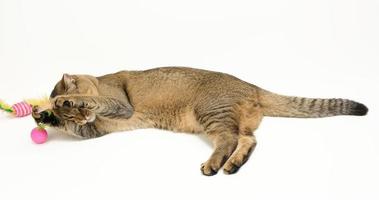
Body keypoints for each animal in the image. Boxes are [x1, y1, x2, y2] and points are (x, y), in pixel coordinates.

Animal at [31, 67, 370, 175]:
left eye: (76, 110)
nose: (81, 115)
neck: (98, 80)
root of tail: (252, 85)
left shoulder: (119, 105)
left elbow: (97, 101)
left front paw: (61, 102)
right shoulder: (96, 130)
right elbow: (77, 130)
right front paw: (43, 114)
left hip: (209, 112)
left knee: (230, 139)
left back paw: (215, 164)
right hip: (228, 118)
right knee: (248, 139)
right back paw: (233, 164)